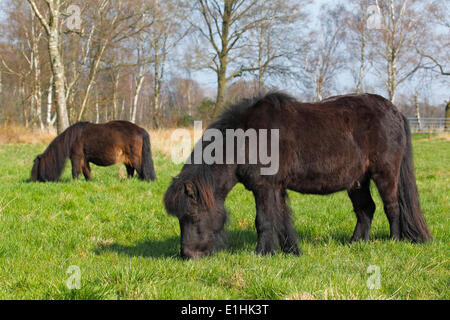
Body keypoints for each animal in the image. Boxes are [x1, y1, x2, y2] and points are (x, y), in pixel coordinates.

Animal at [165, 91, 432, 258]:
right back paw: (355, 243)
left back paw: (394, 241)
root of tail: (395, 111)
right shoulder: (276, 188)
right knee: (366, 209)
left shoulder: (264, 188)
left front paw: (261, 254)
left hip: (385, 173)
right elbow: (283, 219)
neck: (246, 139)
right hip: (357, 180)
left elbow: (264, 221)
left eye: (192, 215)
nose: (187, 255)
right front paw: (290, 251)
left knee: (392, 207)